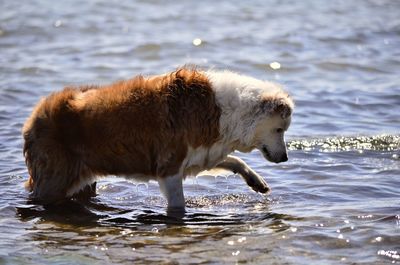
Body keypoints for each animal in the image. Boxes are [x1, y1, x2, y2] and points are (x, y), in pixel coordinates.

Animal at [22, 68, 294, 210]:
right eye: (280, 129)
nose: (285, 158)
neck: (226, 111)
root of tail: (35, 114)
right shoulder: (170, 166)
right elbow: (178, 203)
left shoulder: (201, 152)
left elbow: (233, 161)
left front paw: (256, 182)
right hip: (56, 177)